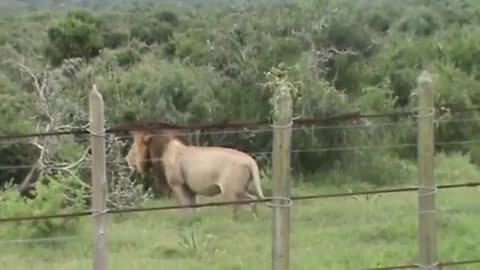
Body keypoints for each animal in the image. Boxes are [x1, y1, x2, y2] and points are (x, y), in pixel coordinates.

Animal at [125, 128, 264, 219]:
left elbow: (185, 206)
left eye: (134, 146)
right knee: (251, 200)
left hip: (230, 190)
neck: (163, 151)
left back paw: (237, 220)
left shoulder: (178, 184)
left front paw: (186, 220)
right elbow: (193, 206)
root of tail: (250, 160)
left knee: (246, 202)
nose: (127, 158)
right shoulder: (190, 189)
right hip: (240, 189)